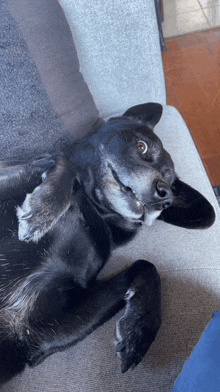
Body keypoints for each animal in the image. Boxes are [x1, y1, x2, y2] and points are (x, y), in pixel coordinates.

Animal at [0, 102, 215, 382]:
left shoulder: (36, 329)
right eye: (141, 146)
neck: (90, 209)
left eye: (169, 180)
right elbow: (62, 159)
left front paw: (139, 330)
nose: (165, 196)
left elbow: (145, 265)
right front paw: (42, 210)